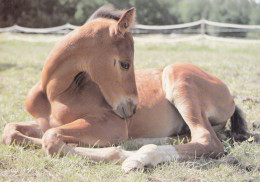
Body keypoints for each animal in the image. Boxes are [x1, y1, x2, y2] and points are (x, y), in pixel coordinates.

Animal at [2, 7, 250, 172]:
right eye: (124, 64)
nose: (132, 108)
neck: (54, 94)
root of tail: (230, 96)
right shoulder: (44, 122)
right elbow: (11, 132)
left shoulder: (113, 124)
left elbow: (51, 139)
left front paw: (118, 152)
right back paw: (140, 144)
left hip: (178, 80)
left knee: (207, 140)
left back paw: (138, 157)